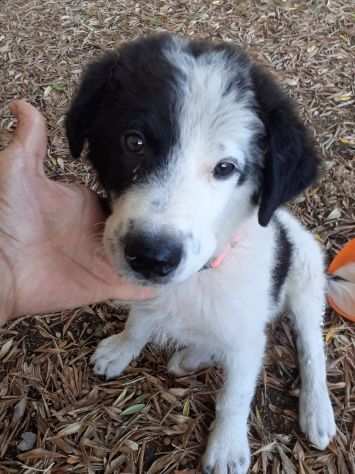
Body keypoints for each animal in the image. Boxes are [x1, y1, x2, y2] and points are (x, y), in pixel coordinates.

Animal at [66, 34, 336, 474]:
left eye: (226, 168)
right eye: (133, 142)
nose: (151, 256)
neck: (200, 277)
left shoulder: (246, 337)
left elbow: (236, 396)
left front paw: (226, 447)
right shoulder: (151, 295)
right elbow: (139, 322)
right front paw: (122, 348)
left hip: (305, 274)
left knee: (311, 344)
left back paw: (317, 411)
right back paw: (192, 355)